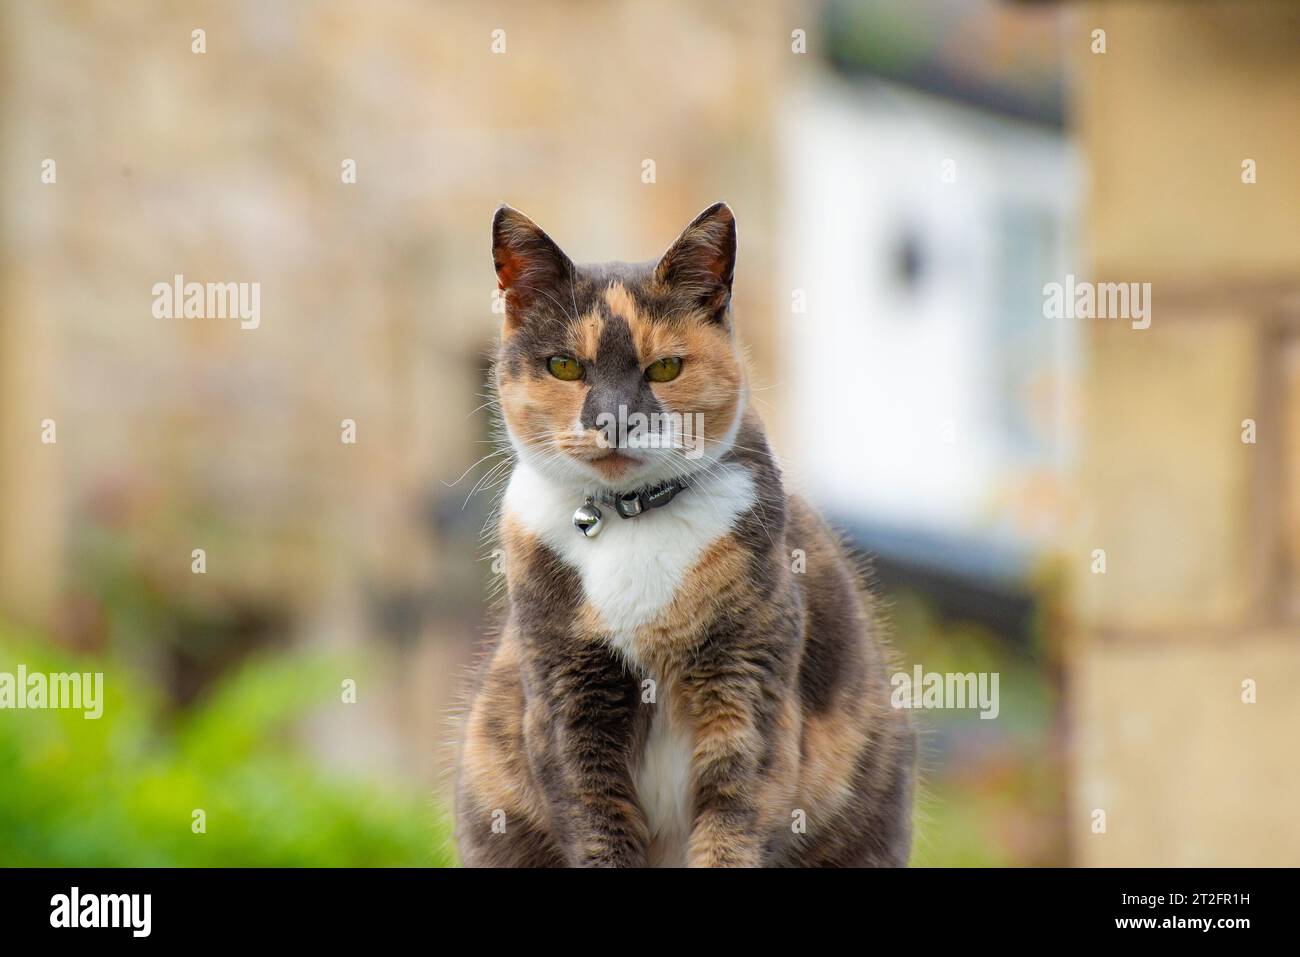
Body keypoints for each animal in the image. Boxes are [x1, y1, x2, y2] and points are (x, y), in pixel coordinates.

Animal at [454, 201, 915, 868]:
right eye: (564, 365)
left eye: (665, 367)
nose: (614, 419)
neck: (630, 519)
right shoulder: (566, 701)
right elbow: (596, 826)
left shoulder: (750, 689)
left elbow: (733, 825)